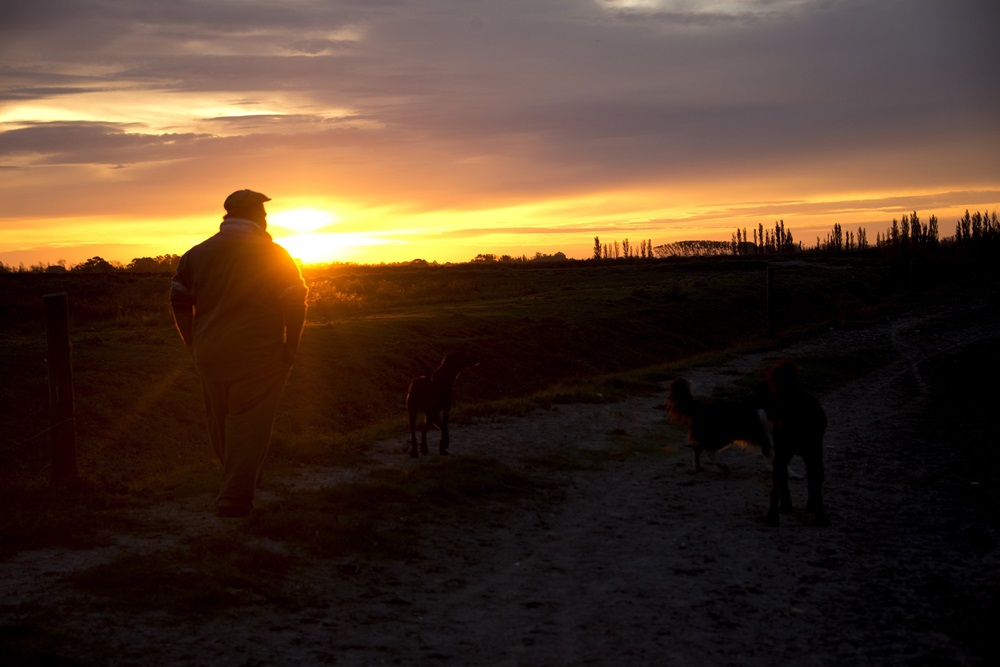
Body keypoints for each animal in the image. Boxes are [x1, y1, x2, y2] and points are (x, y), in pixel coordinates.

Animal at [756, 360, 828, 528]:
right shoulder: (811, 454)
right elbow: (813, 483)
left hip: (787, 453)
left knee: (779, 484)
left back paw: (774, 515)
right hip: (803, 453)